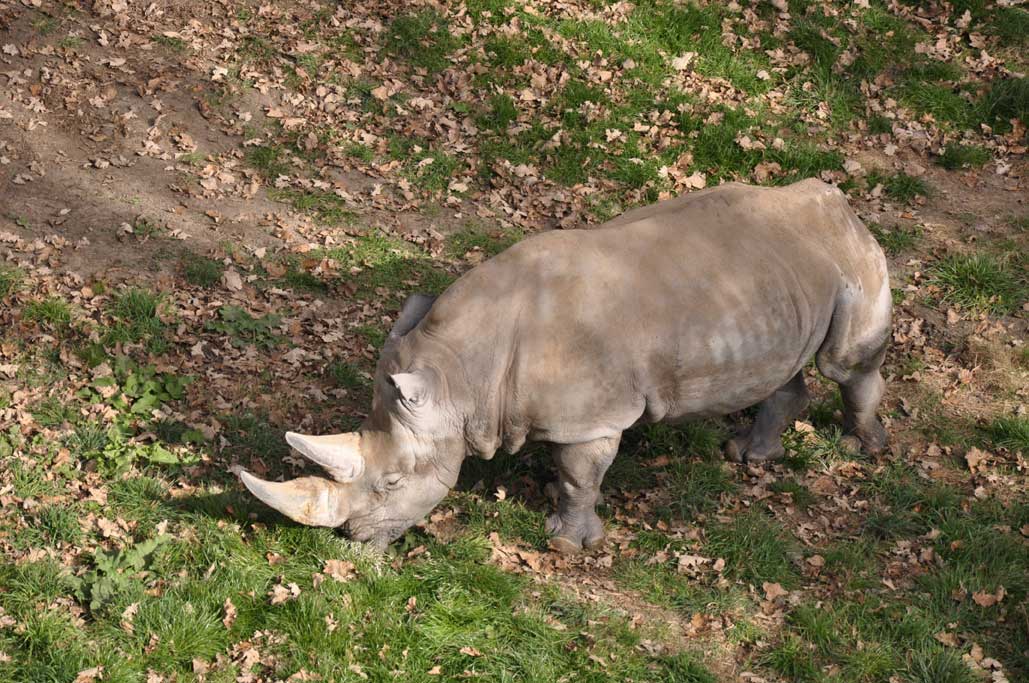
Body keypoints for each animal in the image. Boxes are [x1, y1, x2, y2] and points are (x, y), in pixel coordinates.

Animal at [239, 178, 891, 552]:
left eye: (393, 483)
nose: (354, 541)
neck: (460, 376)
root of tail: (839, 199)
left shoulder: (594, 416)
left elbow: (582, 474)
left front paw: (566, 544)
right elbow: (569, 470)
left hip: (850, 254)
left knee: (844, 364)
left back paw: (864, 448)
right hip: (776, 275)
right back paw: (748, 457)